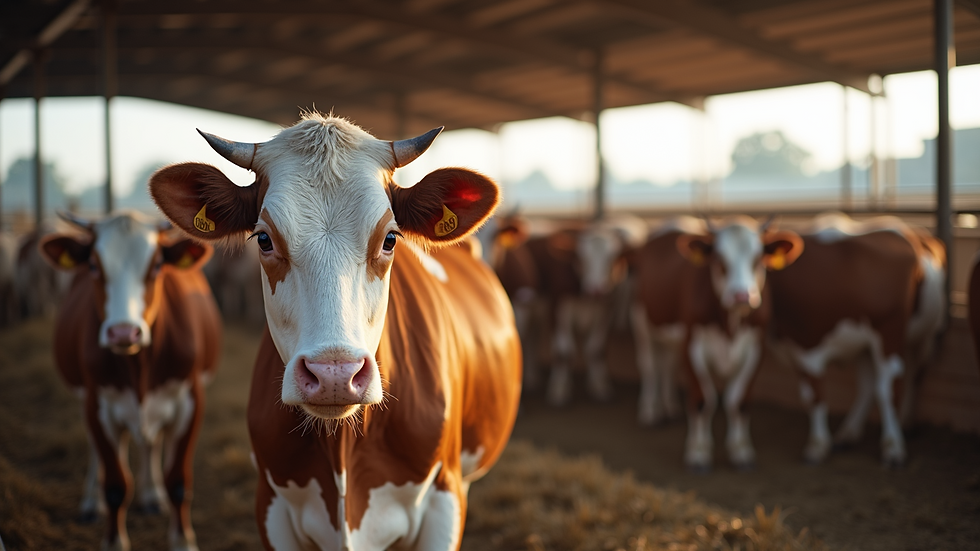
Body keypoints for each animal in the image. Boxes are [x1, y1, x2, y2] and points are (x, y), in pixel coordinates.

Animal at [40, 210, 220, 551]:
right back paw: (90, 500)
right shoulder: (98, 404)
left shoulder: (190, 402)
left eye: (158, 265)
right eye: (94, 265)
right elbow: (115, 485)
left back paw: (152, 494)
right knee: (98, 449)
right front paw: (113, 540)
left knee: (151, 442)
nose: (123, 332)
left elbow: (178, 482)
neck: (140, 366)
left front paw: (182, 540)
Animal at [631, 216, 803, 471]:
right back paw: (650, 412)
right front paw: (698, 452)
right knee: (650, 367)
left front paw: (740, 450)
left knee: (667, 365)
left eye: (758, 258)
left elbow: (738, 401)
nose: (742, 296)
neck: (730, 323)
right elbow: (703, 400)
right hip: (642, 321)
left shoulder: (756, 348)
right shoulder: (692, 346)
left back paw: (670, 407)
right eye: (719, 259)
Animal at [767, 213, 922, 466]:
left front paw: (817, 445)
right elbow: (809, 394)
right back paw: (849, 433)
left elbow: (816, 394)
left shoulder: (809, 344)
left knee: (889, 387)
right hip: (865, 341)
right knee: (869, 386)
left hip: (890, 331)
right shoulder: (796, 347)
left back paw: (893, 445)